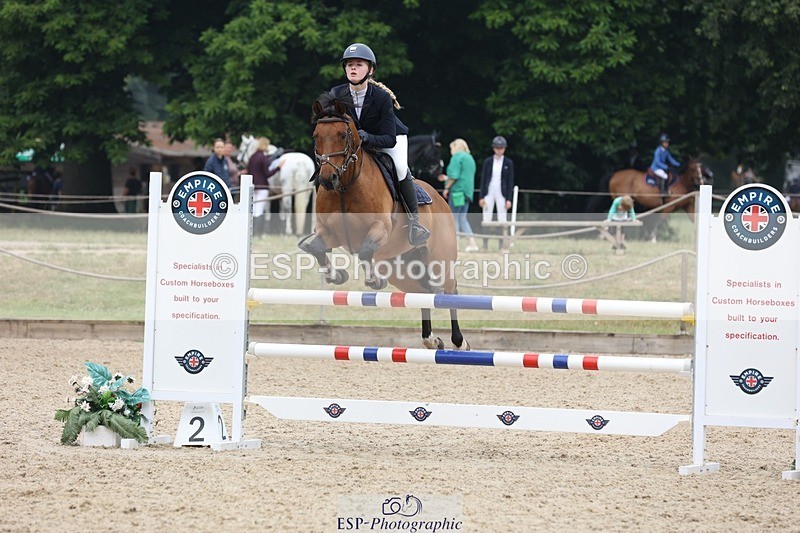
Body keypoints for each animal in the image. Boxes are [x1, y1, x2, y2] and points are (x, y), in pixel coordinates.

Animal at [301, 92, 467, 350]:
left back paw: (459, 342)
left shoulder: (380, 228)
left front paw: (373, 281)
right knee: (422, 293)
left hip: (440, 259)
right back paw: (431, 339)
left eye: (342, 135)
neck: (346, 187)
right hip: (400, 268)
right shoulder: (328, 232)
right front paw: (335, 276)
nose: (328, 179)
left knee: (451, 291)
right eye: (316, 135)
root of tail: (441, 198)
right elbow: (316, 247)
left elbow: (366, 250)